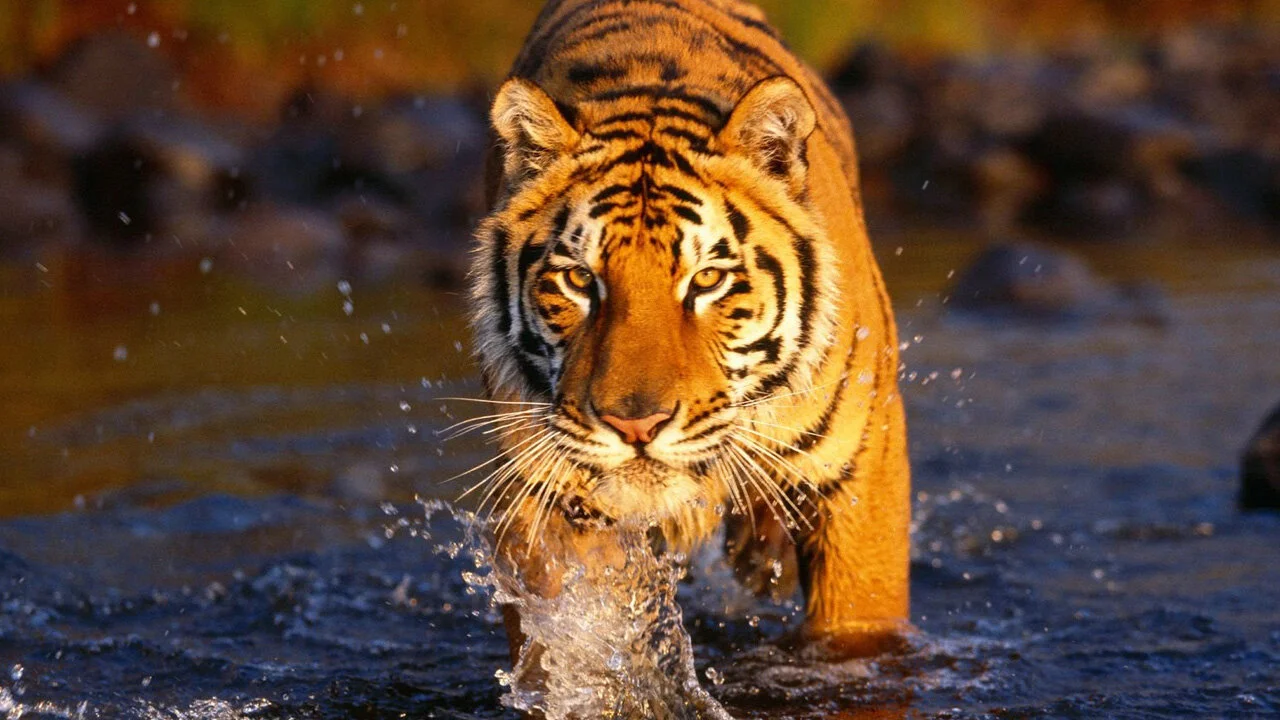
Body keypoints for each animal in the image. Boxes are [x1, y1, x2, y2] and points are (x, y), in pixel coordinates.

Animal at [467, 0, 911, 661]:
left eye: (706, 281)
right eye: (579, 279)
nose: (635, 426)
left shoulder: (862, 471)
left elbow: (857, 625)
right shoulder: (541, 490)